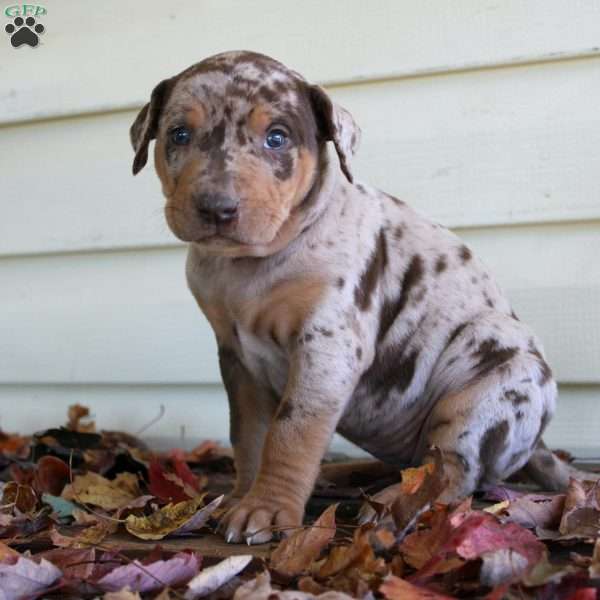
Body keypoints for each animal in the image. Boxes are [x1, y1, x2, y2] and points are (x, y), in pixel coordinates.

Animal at [131, 51, 580, 544]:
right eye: (179, 134)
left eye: (276, 138)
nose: (217, 208)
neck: (253, 265)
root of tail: (539, 447)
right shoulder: (237, 358)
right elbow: (248, 435)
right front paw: (242, 496)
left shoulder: (327, 347)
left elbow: (290, 432)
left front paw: (266, 508)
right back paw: (346, 474)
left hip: (488, 388)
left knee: (453, 472)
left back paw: (394, 504)